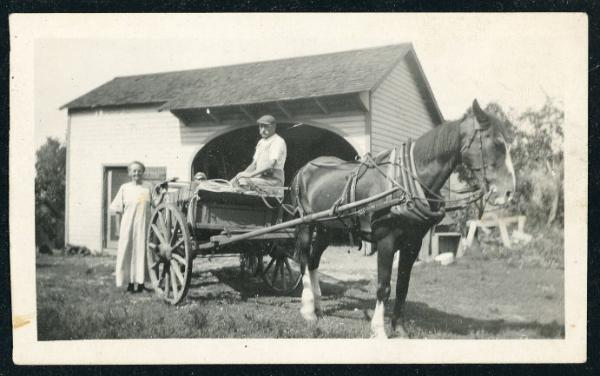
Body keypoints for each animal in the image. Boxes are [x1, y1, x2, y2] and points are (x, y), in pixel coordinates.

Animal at [290, 99, 516, 338]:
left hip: (328, 229)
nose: (509, 191)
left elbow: (402, 286)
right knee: (304, 261)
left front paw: (399, 328)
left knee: (314, 261)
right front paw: (379, 330)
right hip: (305, 225)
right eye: (497, 143)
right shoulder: (386, 241)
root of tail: (304, 168)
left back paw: (318, 306)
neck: (407, 184)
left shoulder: (412, 243)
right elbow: (384, 286)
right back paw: (308, 310)